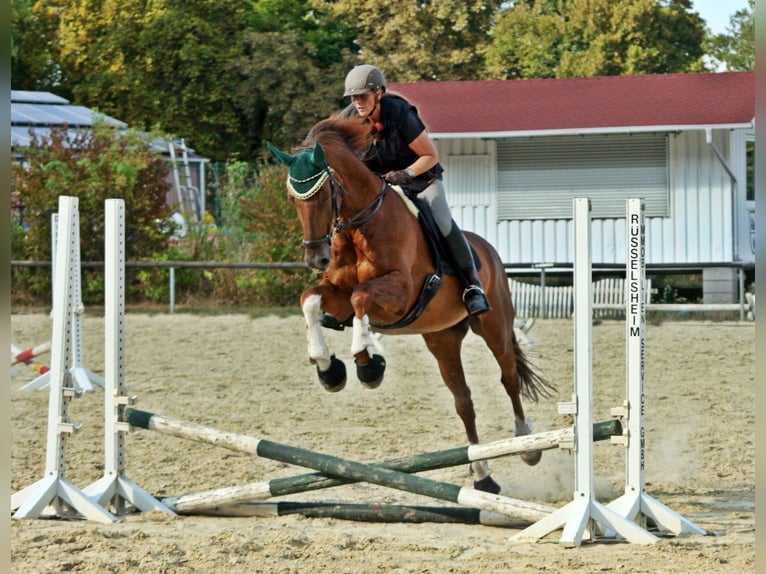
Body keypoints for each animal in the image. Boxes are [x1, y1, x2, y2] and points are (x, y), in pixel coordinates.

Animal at [268, 117, 556, 496]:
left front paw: (367, 365)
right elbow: (312, 300)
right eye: (292, 199)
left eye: (324, 194)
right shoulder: (338, 294)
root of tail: (489, 251)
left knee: (508, 378)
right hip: (442, 339)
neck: (361, 224)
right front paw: (329, 368)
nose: (316, 258)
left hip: (494, 327)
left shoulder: (400, 292)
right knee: (464, 401)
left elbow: (361, 297)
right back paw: (483, 476)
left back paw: (527, 446)